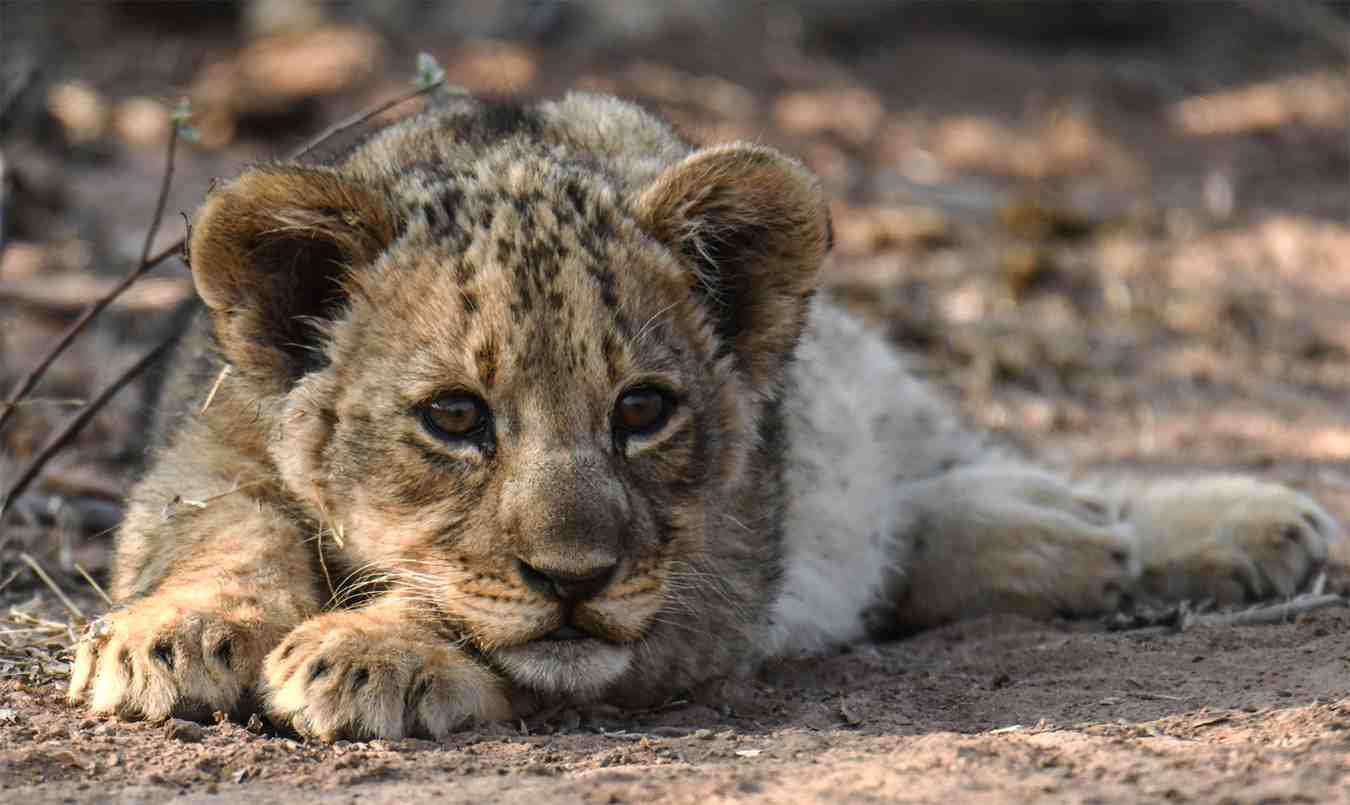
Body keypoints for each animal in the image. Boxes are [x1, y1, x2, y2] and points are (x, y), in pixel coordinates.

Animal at [68, 91, 1339, 741]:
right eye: (455, 417)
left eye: (644, 409)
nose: (572, 575)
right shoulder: (203, 446)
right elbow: (228, 530)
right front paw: (169, 635)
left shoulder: (714, 574)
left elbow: (506, 629)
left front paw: (371, 650)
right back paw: (1062, 532)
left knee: (967, 464)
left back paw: (1213, 523)